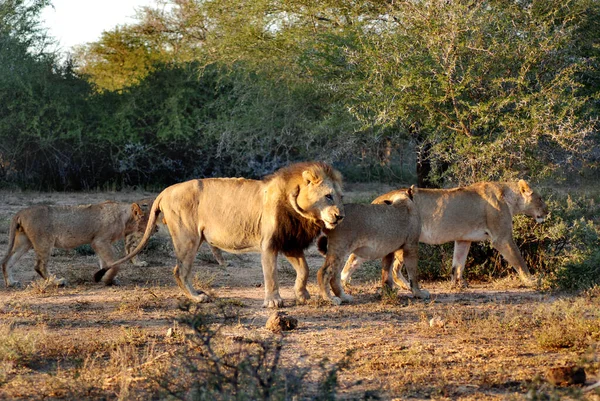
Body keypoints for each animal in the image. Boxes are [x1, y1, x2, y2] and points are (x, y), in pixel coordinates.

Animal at [1, 202, 143, 286]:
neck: (124, 216)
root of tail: (21, 212)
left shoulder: (98, 243)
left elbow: (105, 263)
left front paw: (106, 277)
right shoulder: (101, 241)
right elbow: (114, 264)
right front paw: (108, 279)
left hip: (24, 242)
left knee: (7, 261)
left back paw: (11, 283)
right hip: (44, 241)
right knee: (39, 266)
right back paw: (57, 282)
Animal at [95, 161, 344, 304]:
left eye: (341, 197)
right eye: (328, 196)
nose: (340, 216)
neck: (302, 213)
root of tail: (165, 191)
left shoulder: (290, 242)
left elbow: (304, 270)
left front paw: (302, 295)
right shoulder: (269, 244)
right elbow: (271, 275)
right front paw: (274, 301)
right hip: (188, 238)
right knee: (179, 271)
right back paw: (197, 298)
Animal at [340, 179, 548, 288]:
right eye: (540, 198)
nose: (547, 212)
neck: (509, 198)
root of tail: (377, 199)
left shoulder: (463, 239)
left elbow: (458, 263)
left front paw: (458, 284)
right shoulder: (501, 238)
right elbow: (519, 260)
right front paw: (531, 280)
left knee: (355, 259)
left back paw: (344, 281)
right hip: (400, 239)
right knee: (394, 269)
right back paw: (408, 287)